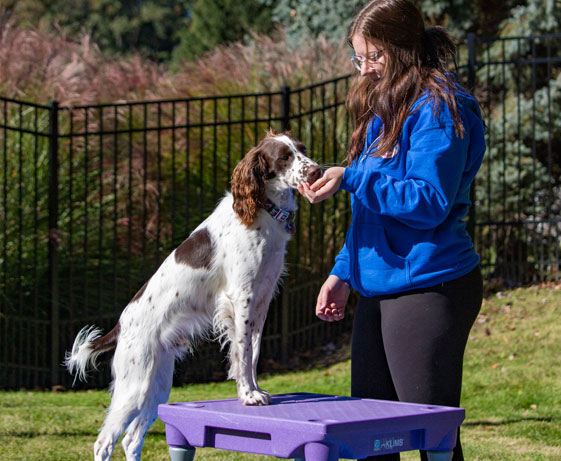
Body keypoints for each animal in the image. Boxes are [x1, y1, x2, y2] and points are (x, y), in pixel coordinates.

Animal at [64, 130, 322, 460]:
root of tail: (120, 327)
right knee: (104, 442)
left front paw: (255, 389)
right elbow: (243, 352)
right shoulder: (241, 297)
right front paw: (248, 396)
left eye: (303, 149)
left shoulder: (262, 300)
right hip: (134, 386)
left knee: (131, 440)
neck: (261, 208)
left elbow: (252, 353)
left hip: (157, 385)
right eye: (284, 157)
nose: (316, 171)